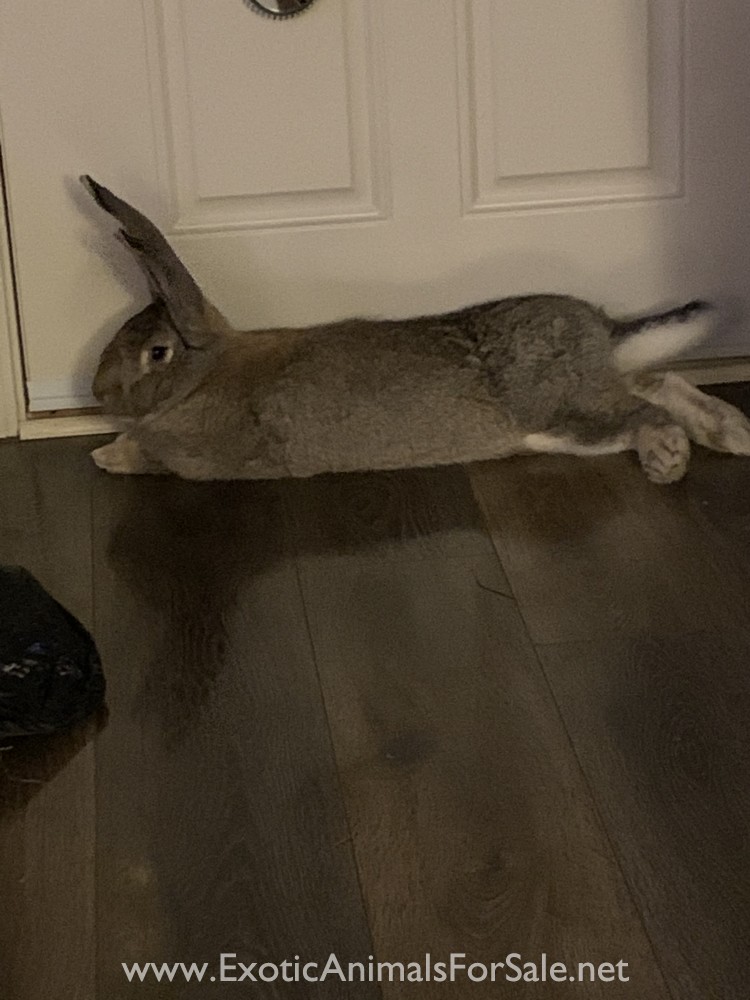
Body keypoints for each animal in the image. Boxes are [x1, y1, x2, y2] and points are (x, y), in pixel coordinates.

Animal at [81, 176, 750, 484]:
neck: (207, 373)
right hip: (564, 417)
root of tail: (601, 327)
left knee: (644, 409)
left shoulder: (195, 456)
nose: (97, 392)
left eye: (156, 353)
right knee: (657, 384)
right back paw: (730, 432)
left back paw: (672, 457)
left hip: (560, 407)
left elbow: (147, 455)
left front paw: (105, 454)